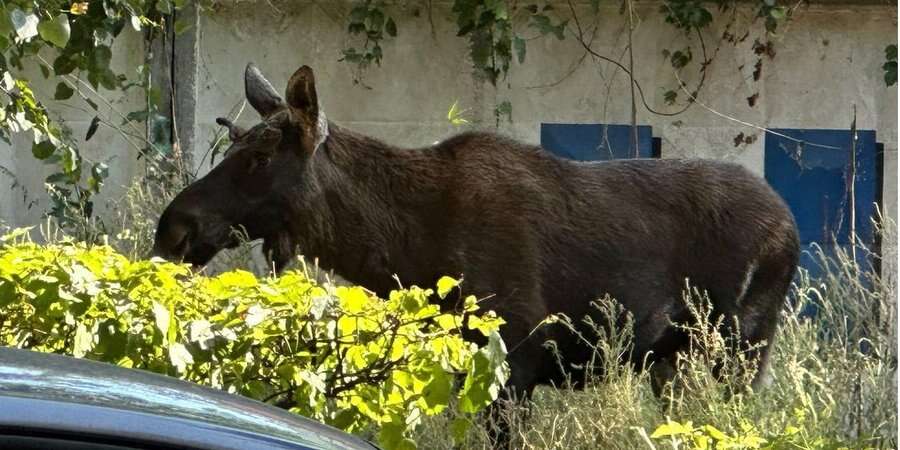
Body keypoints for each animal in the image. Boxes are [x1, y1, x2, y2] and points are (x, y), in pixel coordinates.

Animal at [155, 62, 800, 446]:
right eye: (233, 147)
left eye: (260, 158)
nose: (174, 230)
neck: (404, 248)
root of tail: (790, 224)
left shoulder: (516, 363)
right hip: (675, 361)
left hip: (741, 349)